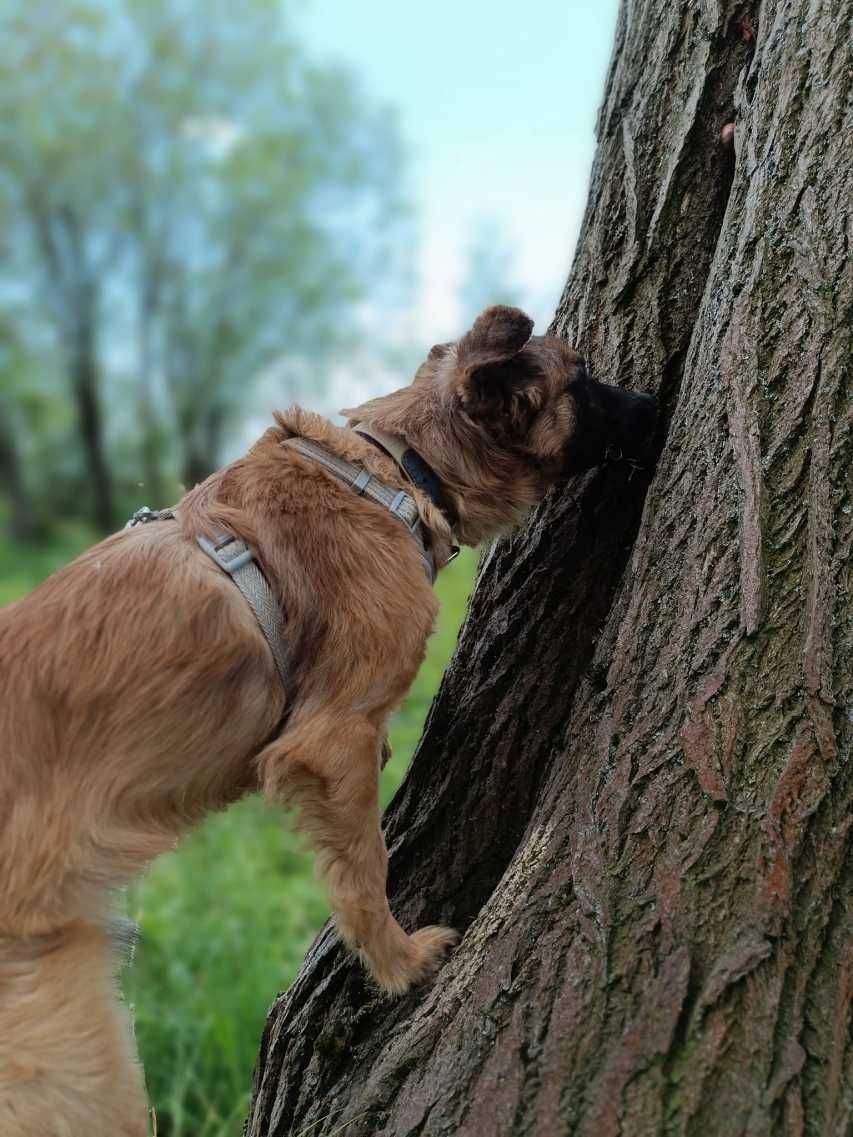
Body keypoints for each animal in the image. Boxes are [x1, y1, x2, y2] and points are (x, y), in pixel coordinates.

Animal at [0, 306, 659, 1132]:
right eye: (583, 379)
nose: (658, 403)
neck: (398, 470)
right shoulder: (328, 738)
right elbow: (363, 870)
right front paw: (399, 963)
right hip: (74, 1051)